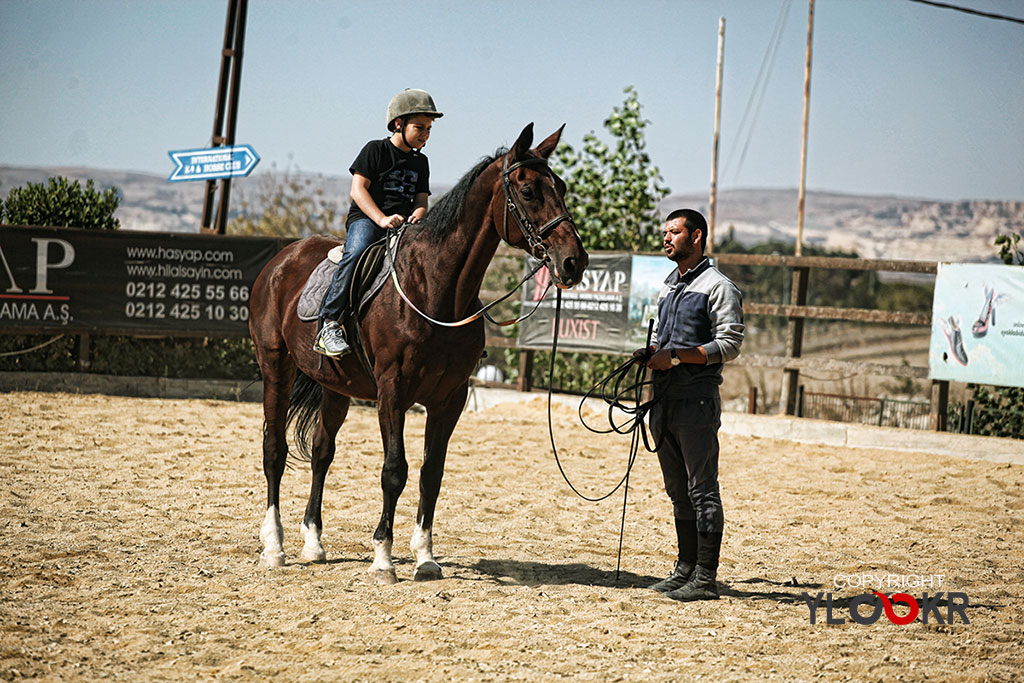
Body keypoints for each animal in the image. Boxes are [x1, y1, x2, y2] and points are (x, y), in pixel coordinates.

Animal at [245, 122, 593, 581]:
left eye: (563, 188)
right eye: (529, 191)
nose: (574, 261)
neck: (434, 288)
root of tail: (282, 259)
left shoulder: (450, 398)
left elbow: (432, 473)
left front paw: (425, 557)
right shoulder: (393, 391)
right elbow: (395, 471)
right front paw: (383, 558)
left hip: (335, 387)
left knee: (322, 452)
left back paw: (314, 543)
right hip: (275, 366)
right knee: (274, 450)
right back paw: (274, 546)